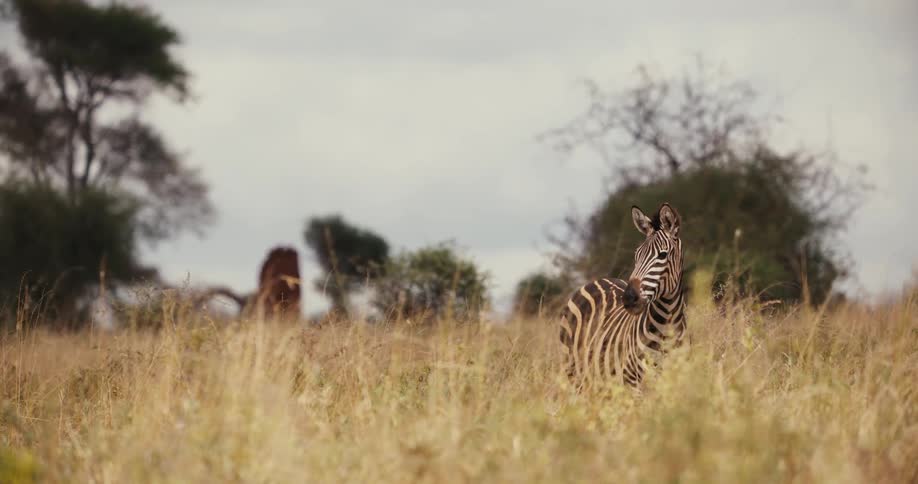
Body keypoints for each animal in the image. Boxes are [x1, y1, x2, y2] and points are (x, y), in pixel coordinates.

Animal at [559, 203, 686, 387]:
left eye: (662, 255)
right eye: (636, 255)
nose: (628, 298)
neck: (666, 327)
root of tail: (597, 280)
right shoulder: (632, 381)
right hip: (573, 372)